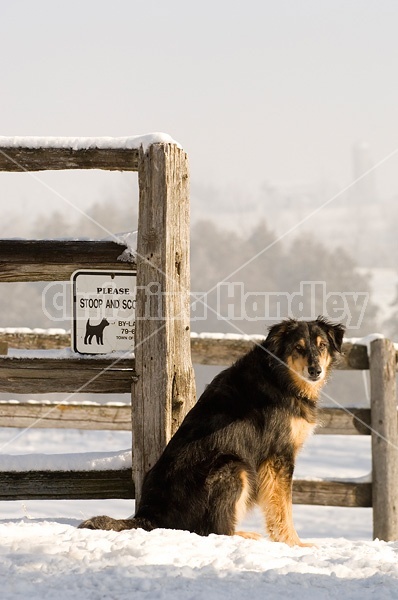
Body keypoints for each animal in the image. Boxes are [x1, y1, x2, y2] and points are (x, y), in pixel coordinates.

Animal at [79, 316, 344, 548]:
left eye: (322, 346)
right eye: (298, 348)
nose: (315, 371)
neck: (280, 376)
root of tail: (150, 515)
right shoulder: (278, 457)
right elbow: (283, 508)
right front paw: (295, 543)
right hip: (234, 467)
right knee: (213, 530)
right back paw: (243, 534)